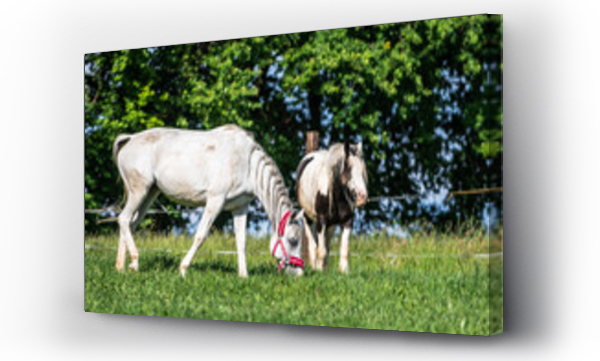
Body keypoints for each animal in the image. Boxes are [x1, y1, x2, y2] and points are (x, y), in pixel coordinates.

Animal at [113, 125, 304, 278]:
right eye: (293, 240)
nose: (299, 273)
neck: (247, 163)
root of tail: (130, 139)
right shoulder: (215, 200)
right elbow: (200, 235)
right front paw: (183, 269)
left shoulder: (240, 207)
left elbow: (241, 241)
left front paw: (243, 275)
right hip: (139, 191)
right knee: (123, 219)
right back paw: (135, 262)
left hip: (149, 194)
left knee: (130, 224)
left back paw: (121, 267)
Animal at [294, 142, 366, 272]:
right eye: (349, 170)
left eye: (362, 171)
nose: (362, 196)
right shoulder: (321, 220)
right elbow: (320, 250)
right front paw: (319, 271)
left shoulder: (347, 220)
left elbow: (344, 249)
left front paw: (344, 271)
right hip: (308, 218)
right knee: (313, 245)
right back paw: (314, 267)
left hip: (331, 225)